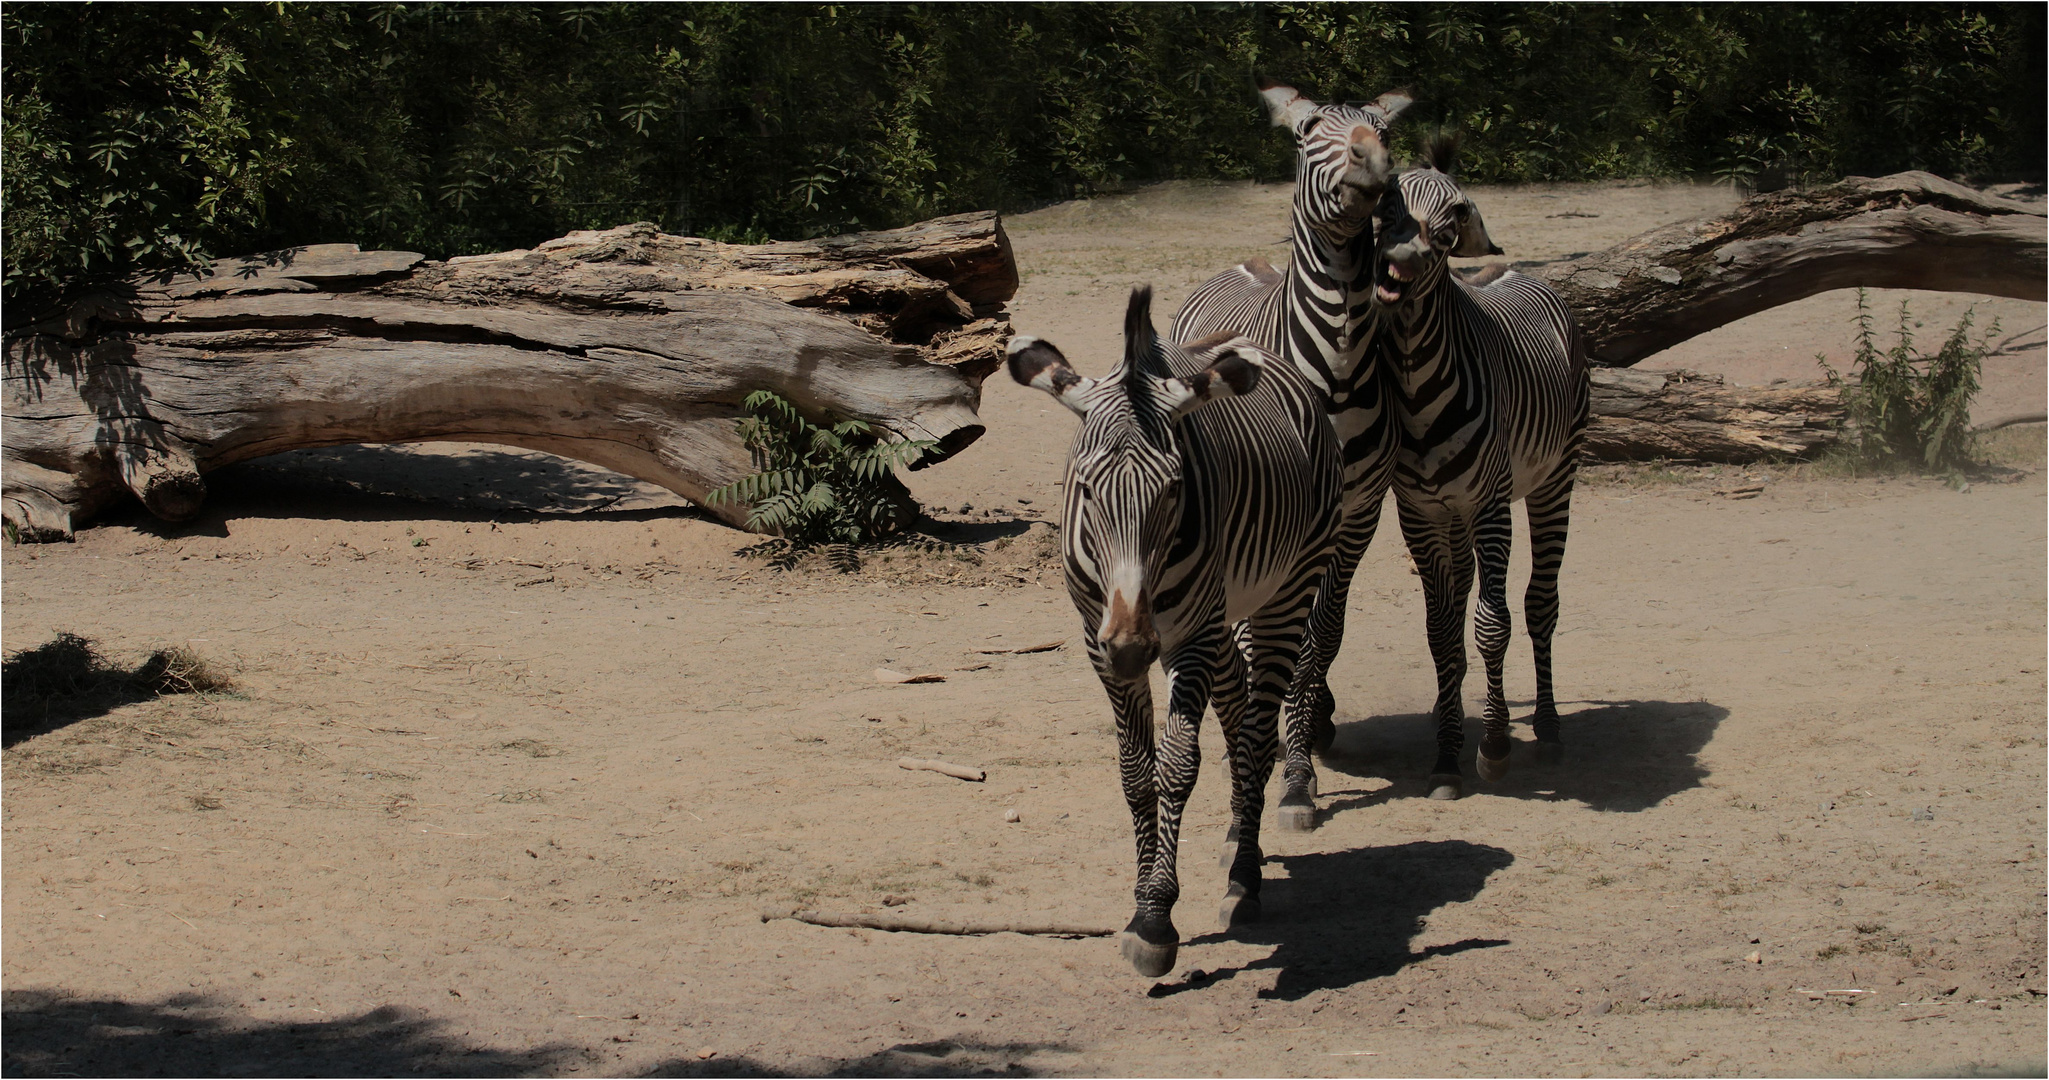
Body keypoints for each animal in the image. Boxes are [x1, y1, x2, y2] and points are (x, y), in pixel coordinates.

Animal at [1008, 286, 1344, 979]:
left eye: (1174, 491)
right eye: (1085, 490)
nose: (1134, 646)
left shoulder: (1190, 637)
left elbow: (1179, 766)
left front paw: (1156, 917)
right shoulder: (1099, 642)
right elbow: (1137, 772)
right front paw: (1141, 897)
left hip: (1284, 590)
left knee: (1258, 731)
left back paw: (1245, 877)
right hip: (1217, 618)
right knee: (1240, 707)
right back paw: (1241, 839)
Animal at [1180, 80, 1417, 832]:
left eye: (1381, 128)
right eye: (1310, 130)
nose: (1373, 160)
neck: (1335, 370)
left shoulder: (1359, 512)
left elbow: (1322, 634)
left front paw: (1296, 767)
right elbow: (1264, 639)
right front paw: (1275, 756)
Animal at [1368, 135, 1590, 799]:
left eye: (1456, 215)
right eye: (1387, 201)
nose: (1402, 259)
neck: (1416, 389)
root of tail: (1517, 270)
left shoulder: (1491, 502)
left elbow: (1492, 623)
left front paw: (1492, 746)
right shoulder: (1419, 511)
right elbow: (1442, 630)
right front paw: (1447, 753)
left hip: (1555, 478)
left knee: (1541, 601)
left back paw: (1547, 728)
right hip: (1455, 512)